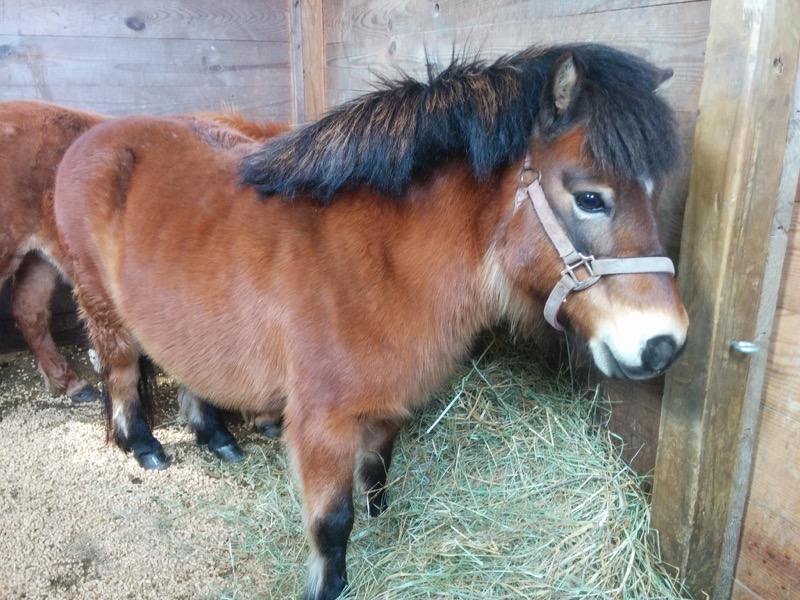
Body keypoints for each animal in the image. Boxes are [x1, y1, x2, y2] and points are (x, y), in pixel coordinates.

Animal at [53, 43, 689, 599]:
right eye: (590, 198)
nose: (665, 343)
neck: (379, 261)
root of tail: (92, 136)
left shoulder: (389, 400)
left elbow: (378, 474)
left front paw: (380, 516)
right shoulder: (323, 424)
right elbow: (332, 523)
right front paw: (329, 585)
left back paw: (216, 438)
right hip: (103, 309)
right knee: (120, 371)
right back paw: (143, 445)